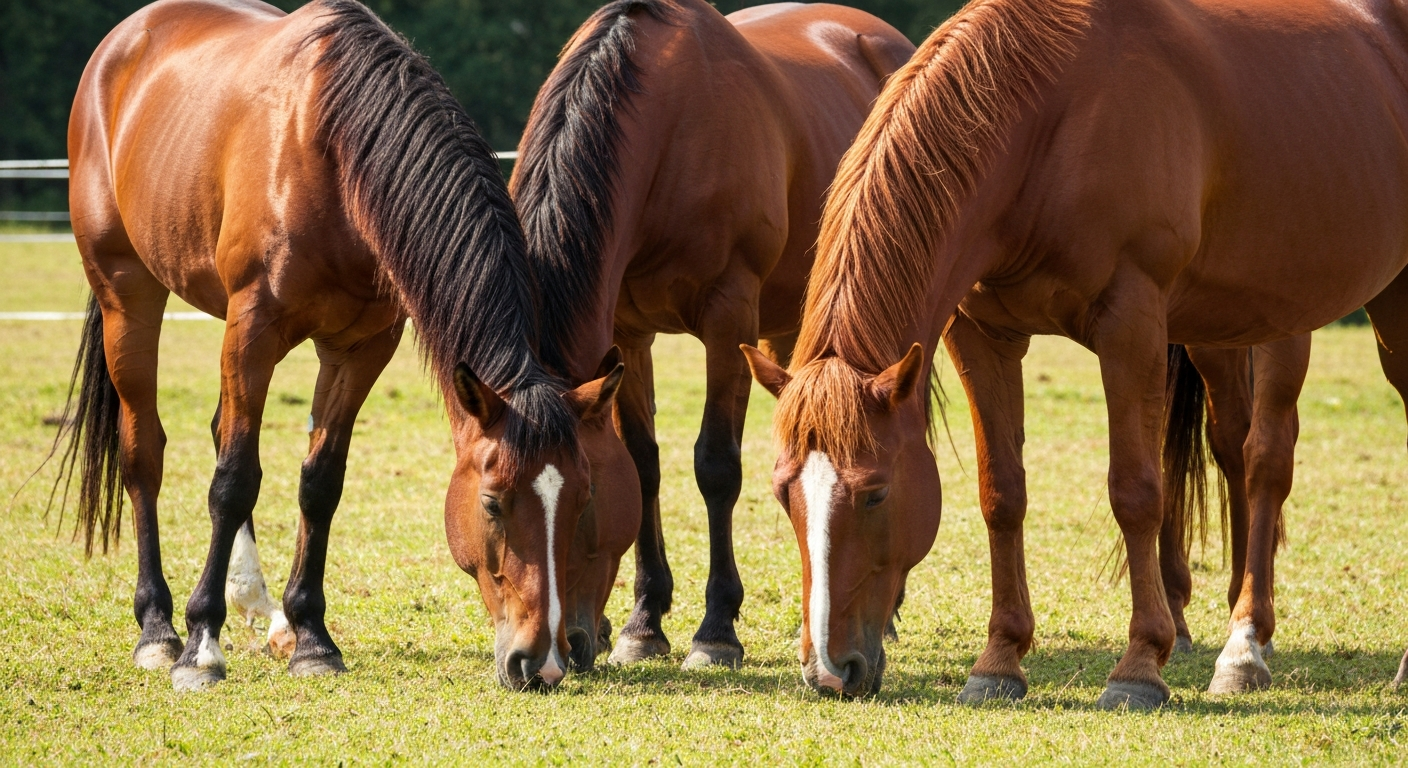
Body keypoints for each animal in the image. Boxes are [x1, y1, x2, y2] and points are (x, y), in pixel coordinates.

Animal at [60, 0, 627, 692]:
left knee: (223, 429)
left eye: (582, 500)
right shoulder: (252, 330)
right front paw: (202, 646)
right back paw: (159, 629)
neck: (332, 154)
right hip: (128, 294)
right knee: (145, 452)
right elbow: (233, 480)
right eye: (492, 503)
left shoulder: (362, 348)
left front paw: (311, 637)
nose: (541, 662)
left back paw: (259, 606)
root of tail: (123, 40)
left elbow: (320, 482)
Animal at [507, 0, 914, 669]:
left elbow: (716, 465)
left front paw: (716, 629)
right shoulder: (629, 332)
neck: (670, 130)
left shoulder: (729, 319)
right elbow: (644, 463)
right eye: (493, 497)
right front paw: (644, 623)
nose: (551, 649)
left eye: (585, 495)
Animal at [744, 0, 1408, 707]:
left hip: (1306, 315)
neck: (1050, 121)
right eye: (783, 492)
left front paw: (1139, 667)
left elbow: (1136, 492)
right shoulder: (982, 335)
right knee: (1237, 447)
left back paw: (1249, 647)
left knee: (1266, 461)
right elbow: (1001, 493)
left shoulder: (1131, 324)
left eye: (875, 493)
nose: (828, 671)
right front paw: (999, 661)